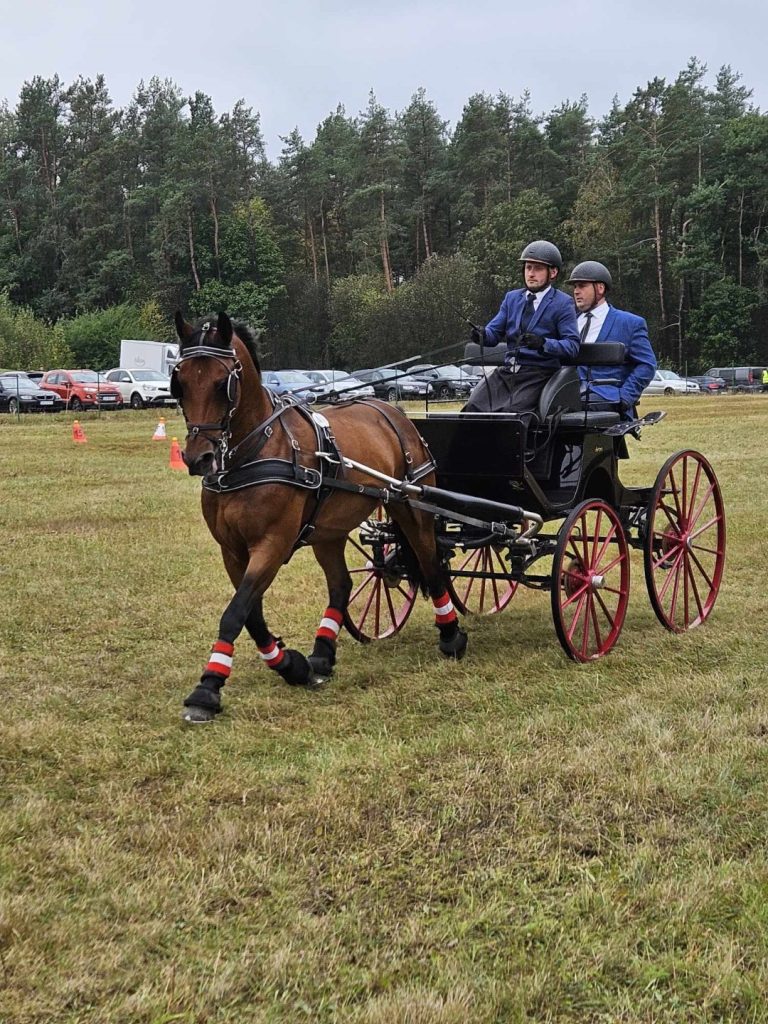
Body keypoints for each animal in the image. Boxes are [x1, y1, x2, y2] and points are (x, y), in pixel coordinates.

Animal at [171, 311, 466, 720]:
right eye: (180, 382)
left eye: (221, 383)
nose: (198, 458)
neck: (256, 450)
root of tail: (391, 411)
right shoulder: (231, 550)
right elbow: (250, 614)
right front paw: (291, 665)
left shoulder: (273, 544)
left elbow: (236, 612)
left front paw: (207, 689)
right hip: (330, 530)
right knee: (341, 584)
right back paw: (322, 654)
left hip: (410, 506)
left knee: (430, 562)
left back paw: (451, 636)